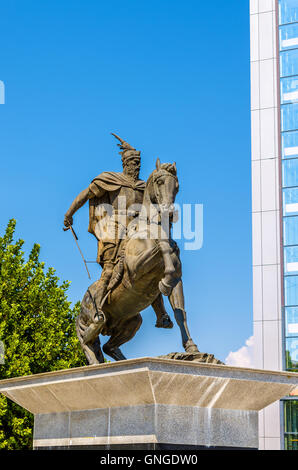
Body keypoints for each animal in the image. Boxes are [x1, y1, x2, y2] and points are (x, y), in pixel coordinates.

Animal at [75, 159, 199, 364]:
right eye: (159, 181)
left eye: (177, 186)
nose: (169, 213)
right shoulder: (135, 270)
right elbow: (161, 246)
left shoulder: (178, 281)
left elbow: (180, 312)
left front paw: (192, 348)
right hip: (93, 321)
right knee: (87, 341)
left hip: (132, 322)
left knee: (108, 347)